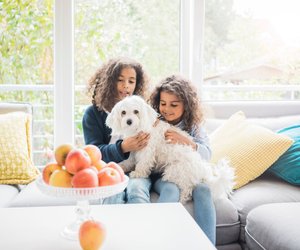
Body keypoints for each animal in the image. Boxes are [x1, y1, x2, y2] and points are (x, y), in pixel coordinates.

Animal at [106, 95, 236, 203]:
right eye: (123, 112)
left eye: (136, 111)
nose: (129, 121)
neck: (138, 129)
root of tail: (202, 169)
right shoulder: (134, 150)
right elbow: (128, 161)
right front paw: (121, 166)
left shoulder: (146, 152)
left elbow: (143, 164)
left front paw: (138, 173)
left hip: (174, 171)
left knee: (187, 189)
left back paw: (182, 199)